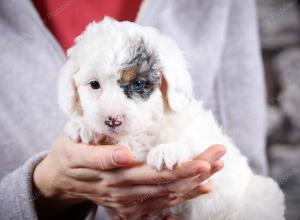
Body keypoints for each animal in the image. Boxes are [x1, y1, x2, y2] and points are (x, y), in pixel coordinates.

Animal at [57, 17, 284, 220]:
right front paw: (82, 126)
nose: (112, 120)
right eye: (94, 84)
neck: (139, 132)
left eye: (138, 83)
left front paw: (168, 150)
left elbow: (190, 141)